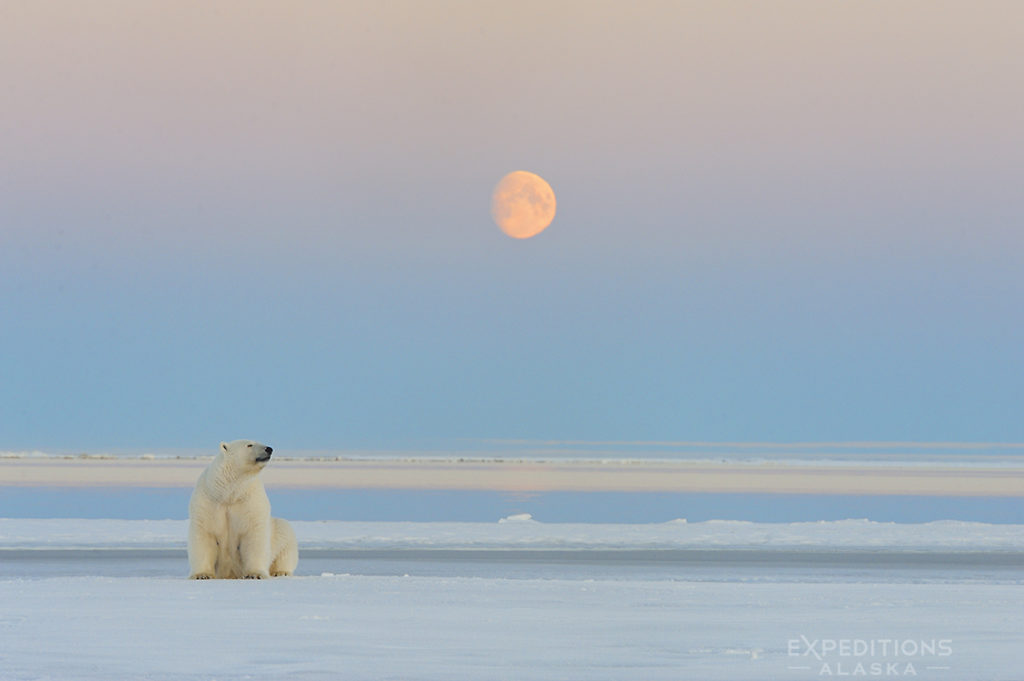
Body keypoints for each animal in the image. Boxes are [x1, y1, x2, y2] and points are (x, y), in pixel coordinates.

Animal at [188, 440, 299, 577]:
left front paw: (255, 574)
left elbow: (254, 532)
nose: (269, 449)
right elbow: (204, 534)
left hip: (280, 534)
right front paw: (202, 575)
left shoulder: (250, 501)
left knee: (284, 535)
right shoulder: (209, 501)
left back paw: (280, 571)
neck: (229, 494)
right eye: (249, 444)